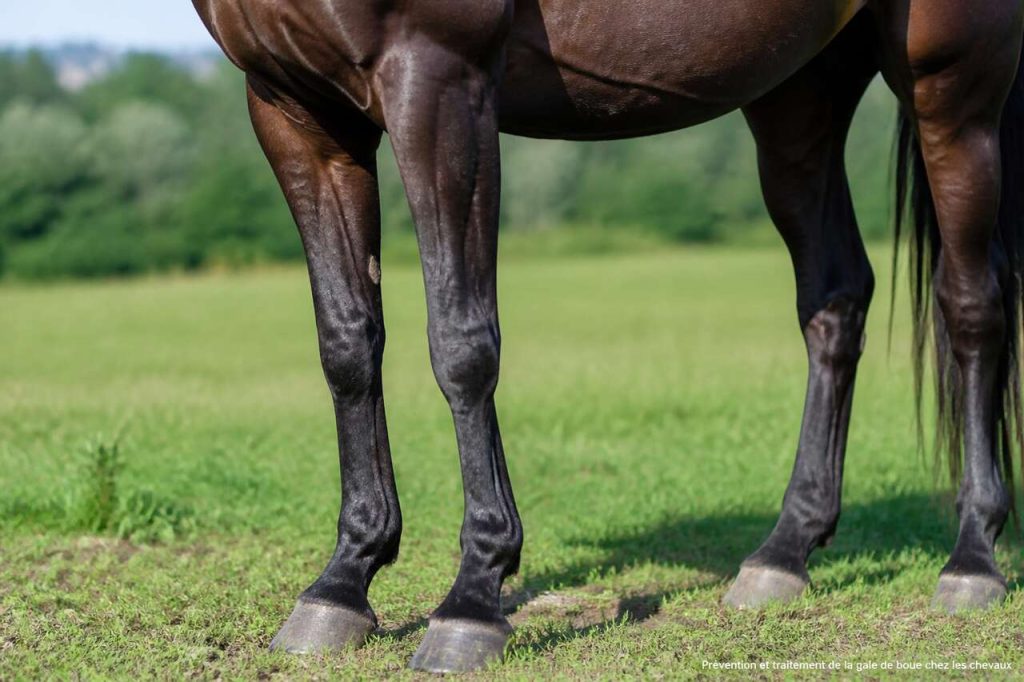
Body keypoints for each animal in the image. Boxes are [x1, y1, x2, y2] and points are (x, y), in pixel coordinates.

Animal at [190, 0, 1024, 672]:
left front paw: (474, 595)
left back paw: (973, 558)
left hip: (951, 85)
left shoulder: (438, 79)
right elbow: (346, 343)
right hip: (798, 95)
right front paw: (343, 581)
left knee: (972, 305)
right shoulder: (292, 108)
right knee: (834, 299)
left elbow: (461, 342)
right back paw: (784, 553)